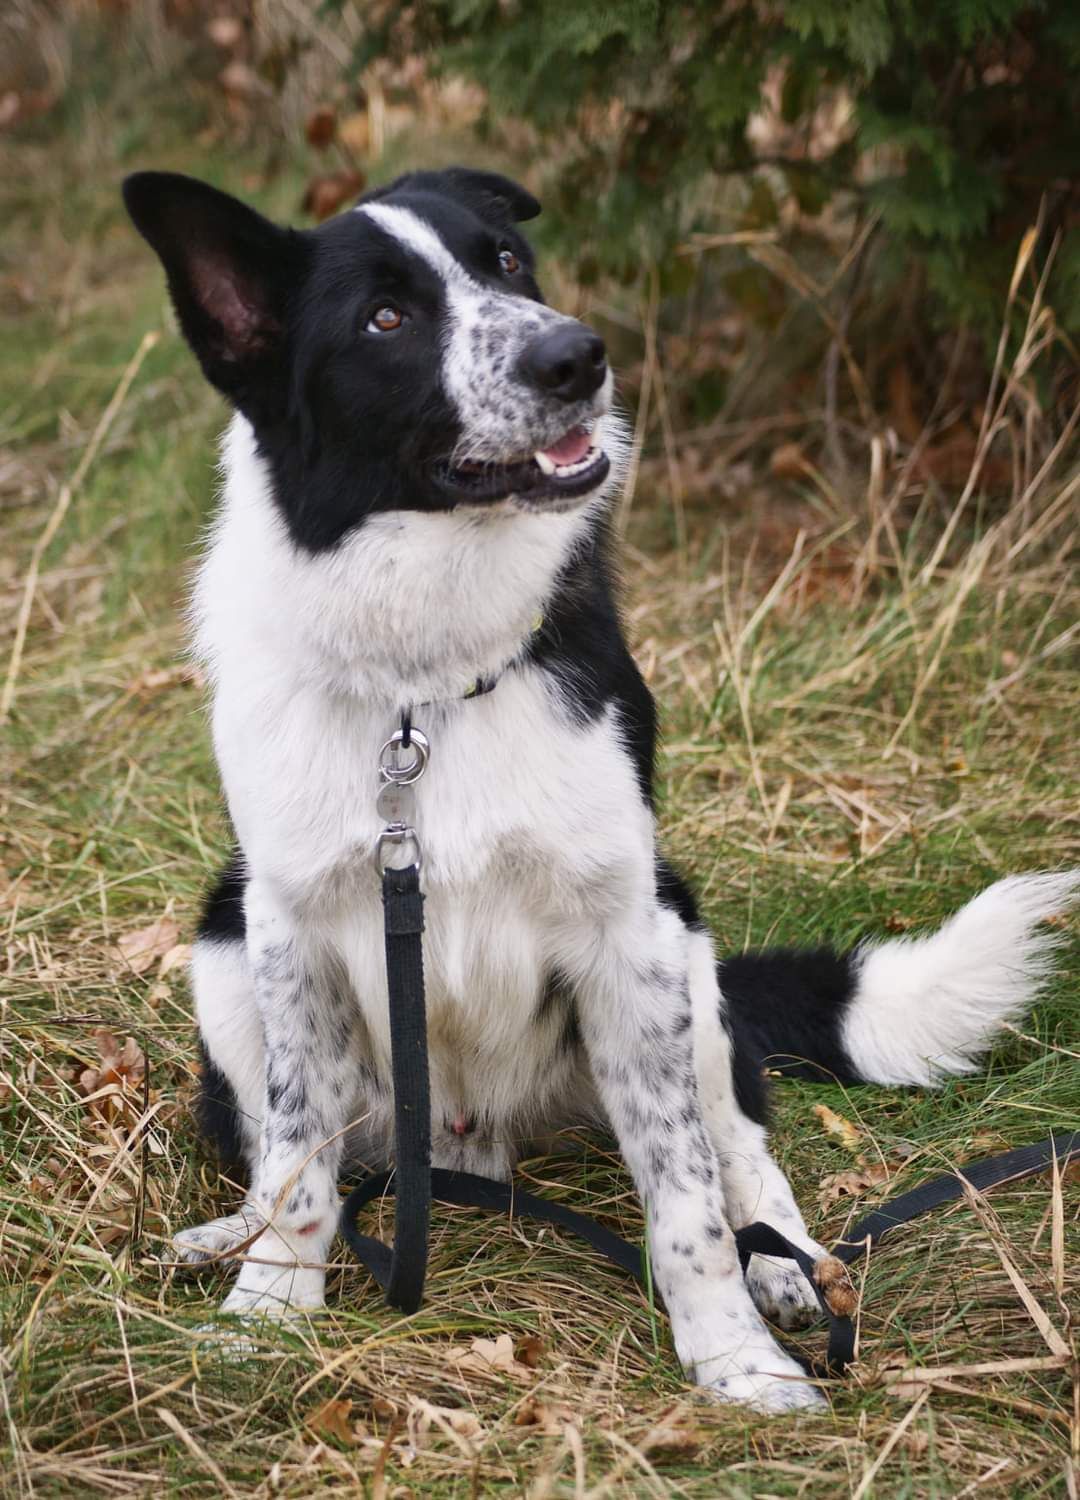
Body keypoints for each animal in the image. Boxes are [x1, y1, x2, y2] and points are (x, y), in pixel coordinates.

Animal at [122, 170, 1074, 1410]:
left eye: (507, 261)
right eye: (384, 319)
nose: (578, 356)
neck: (424, 686)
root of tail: (471, 1145)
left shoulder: (629, 940)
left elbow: (687, 1201)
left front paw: (735, 1359)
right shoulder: (293, 934)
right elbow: (296, 1165)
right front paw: (268, 1311)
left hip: (685, 953)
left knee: (742, 1152)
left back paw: (790, 1272)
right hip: (223, 940)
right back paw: (222, 1239)